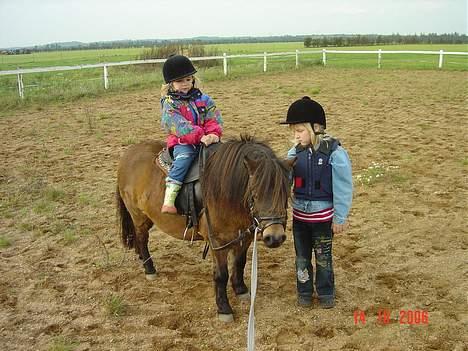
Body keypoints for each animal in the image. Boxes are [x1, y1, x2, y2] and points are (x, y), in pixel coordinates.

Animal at [116, 136, 292, 324]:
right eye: (255, 194)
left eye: (285, 192)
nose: (275, 237)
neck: (226, 192)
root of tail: (128, 153)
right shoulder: (218, 243)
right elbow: (221, 275)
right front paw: (224, 308)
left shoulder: (244, 238)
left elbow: (240, 263)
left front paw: (241, 290)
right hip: (138, 215)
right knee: (142, 238)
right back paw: (149, 269)